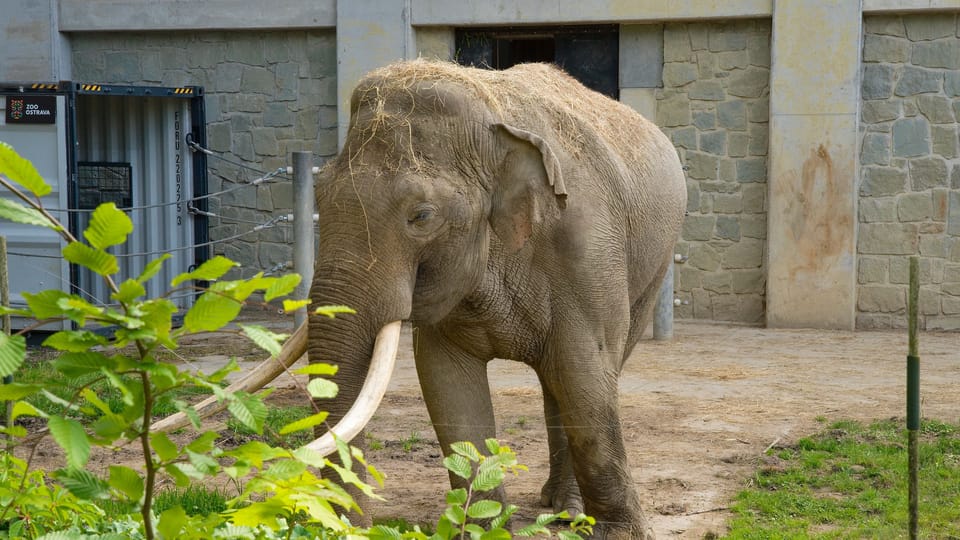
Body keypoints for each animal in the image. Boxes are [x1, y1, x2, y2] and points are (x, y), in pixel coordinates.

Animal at [157, 59, 686, 539]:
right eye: (320, 196)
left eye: (422, 216)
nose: (344, 525)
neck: (491, 117)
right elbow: (447, 384)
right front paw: (480, 529)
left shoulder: (586, 250)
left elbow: (586, 373)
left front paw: (617, 534)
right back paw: (559, 505)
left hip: (653, 265)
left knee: (588, 372)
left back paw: (569, 512)